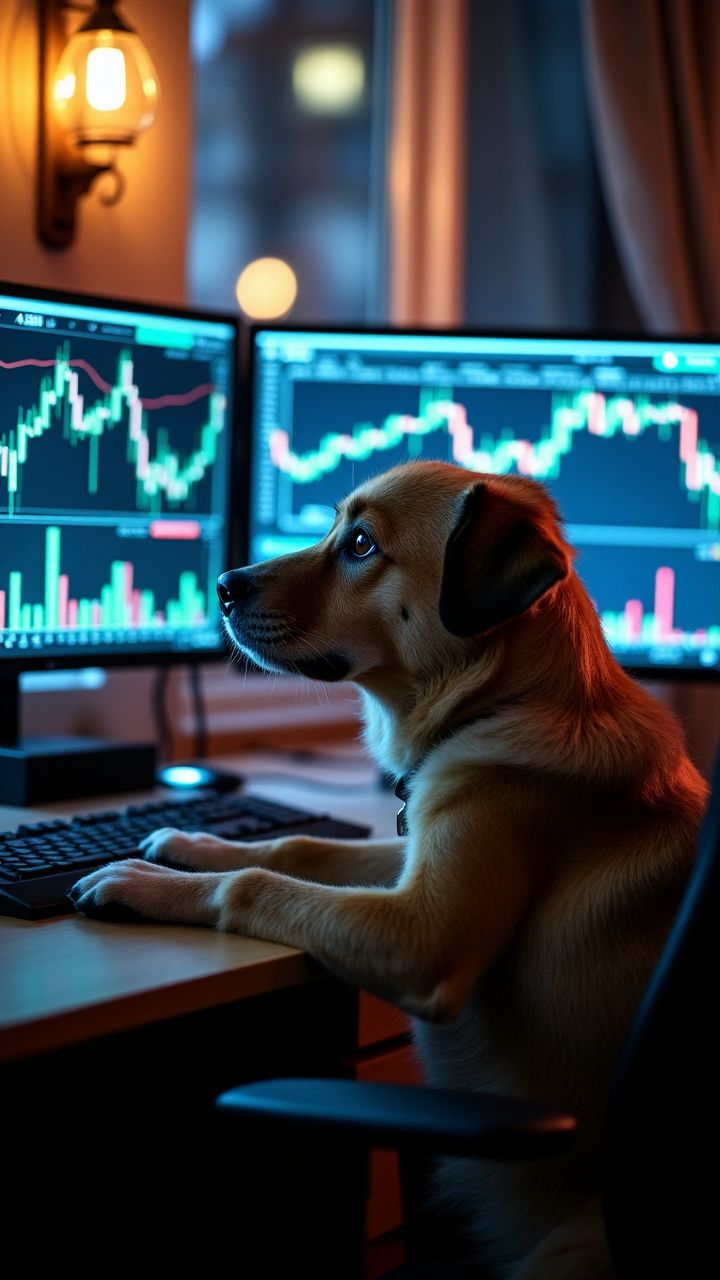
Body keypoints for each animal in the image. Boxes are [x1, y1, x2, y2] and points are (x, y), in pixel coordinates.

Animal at [70, 463, 707, 1280]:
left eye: (363, 545)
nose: (222, 584)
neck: (506, 701)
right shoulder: (403, 854)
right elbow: (295, 852)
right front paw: (190, 842)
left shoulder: (424, 932)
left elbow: (258, 885)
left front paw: (143, 884)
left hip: (570, 1249)